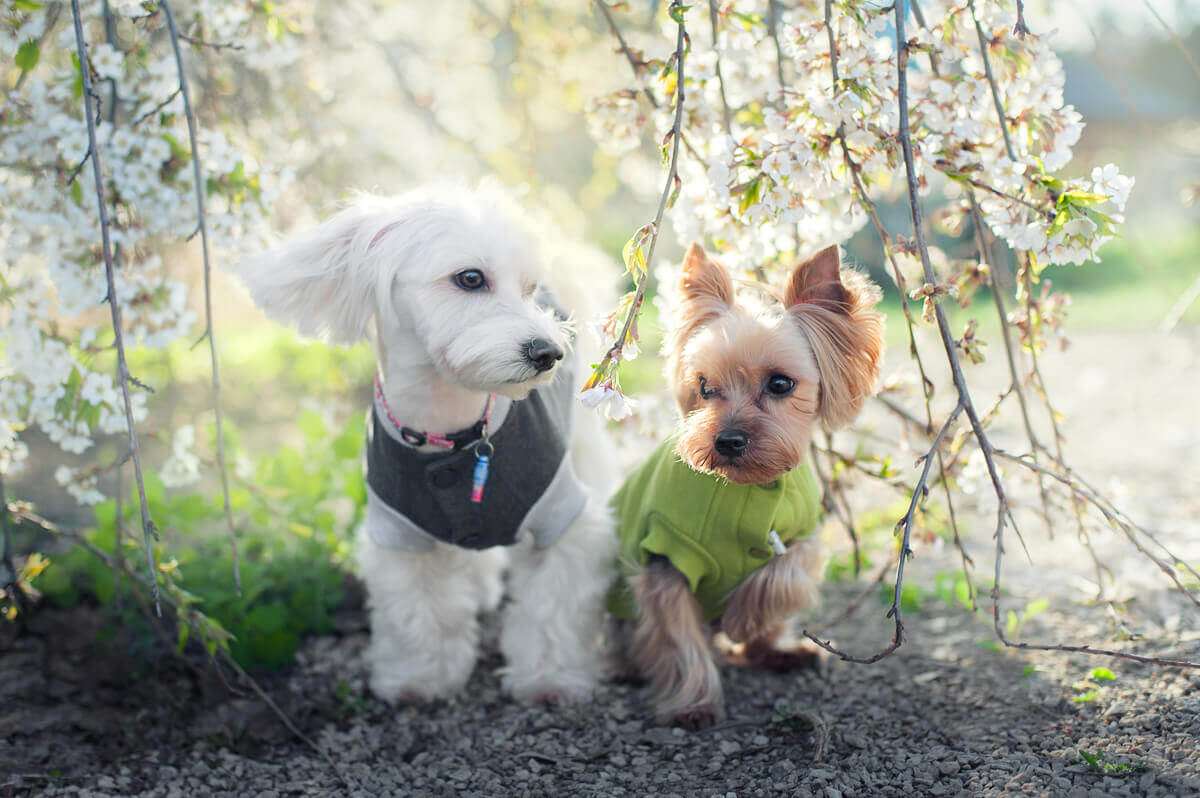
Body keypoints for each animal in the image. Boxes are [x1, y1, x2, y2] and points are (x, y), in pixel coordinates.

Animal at [241, 183, 619, 700]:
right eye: (471, 278)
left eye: (528, 289)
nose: (549, 352)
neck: (453, 435)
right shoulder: (398, 533)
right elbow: (418, 614)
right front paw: (419, 679)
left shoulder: (561, 518)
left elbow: (552, 608)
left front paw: (550, 679)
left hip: (582, 447)